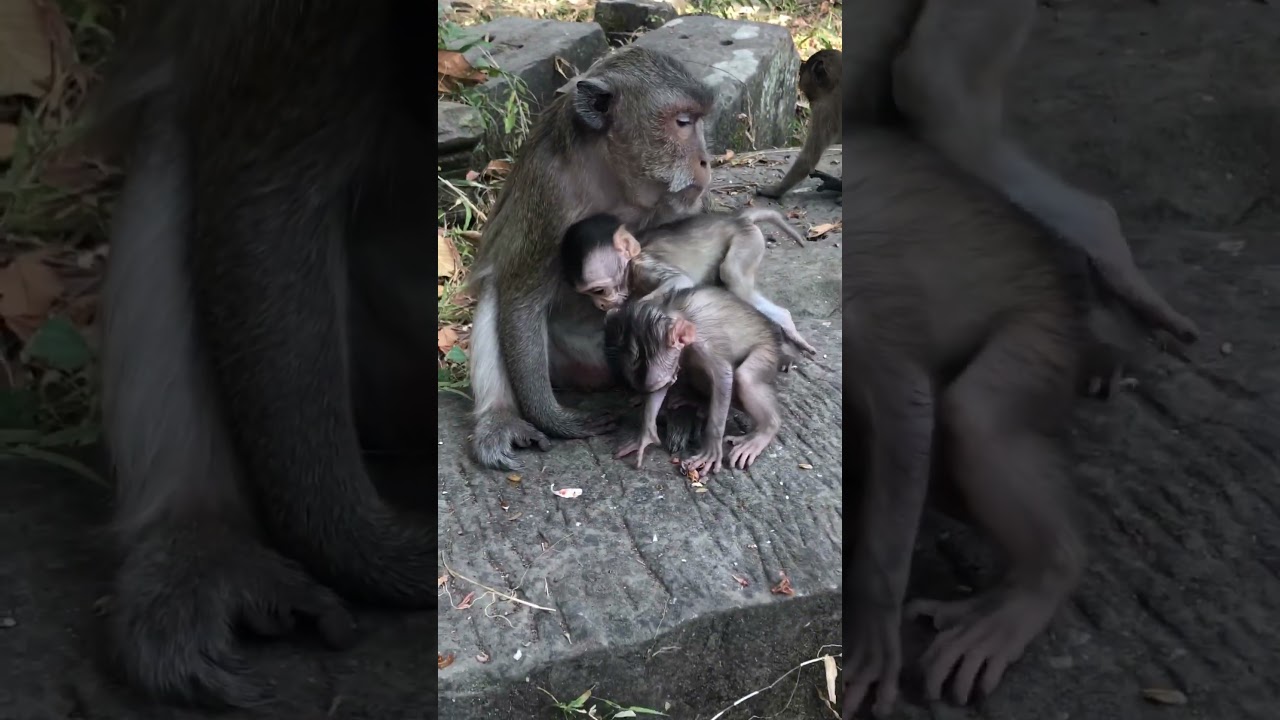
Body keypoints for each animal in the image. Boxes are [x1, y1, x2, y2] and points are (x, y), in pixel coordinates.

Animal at [467, 46, 716, 472]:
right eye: (683, 122)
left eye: (699, 122)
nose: (705, 160)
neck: (613, 174)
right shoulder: (551, 193)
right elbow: (519, 298)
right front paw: (556, 420)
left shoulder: (683, 202)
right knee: (495, 295)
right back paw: (499, 418)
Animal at [560, 209, 818, 356]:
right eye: (589, 294)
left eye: (600, 290)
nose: (600, 305)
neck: (631, 264)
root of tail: (738, 220)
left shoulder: (643, 265)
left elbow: (679, 280)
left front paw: (624, 313)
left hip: (748, 240)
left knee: (731, 274)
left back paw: (784, 320)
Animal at [604, 285, 782, 474]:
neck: (676, 311)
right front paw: (646, 435)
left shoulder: (702, 344)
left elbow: (724, 375)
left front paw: (711, 449)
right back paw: (698, 400)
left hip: (768, 352)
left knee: (744, 378)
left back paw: (765, 430)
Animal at [758, 48, 843, 199]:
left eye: (802, 73)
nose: (799, 79)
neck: (835, 84)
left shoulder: (823, 110)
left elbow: (807, 159)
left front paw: (774, 191)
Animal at [841, 128, 1091, 718]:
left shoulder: (854, 307)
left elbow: (906, 407)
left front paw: (870, 634)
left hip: (1047, 337)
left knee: (971, 418)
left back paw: (1037, 584)